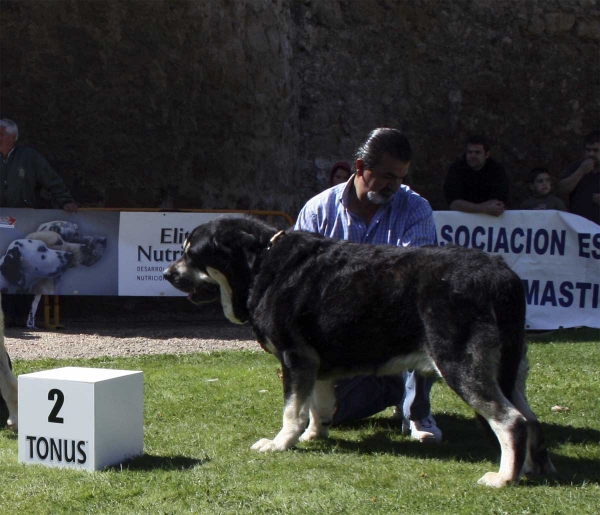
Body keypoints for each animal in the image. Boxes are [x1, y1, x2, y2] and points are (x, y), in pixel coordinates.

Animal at [163, 217, 552, 488]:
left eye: (191, 253)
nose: (167, 273)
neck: (260, 264)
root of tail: (502, 274)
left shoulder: (295, 358)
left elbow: (291, 410)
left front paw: (281, 443)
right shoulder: (315, 365)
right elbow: (317, 407)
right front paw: (313, 436)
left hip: (460, 363)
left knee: (511, 421)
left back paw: (503, 478)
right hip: (508, 368)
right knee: (531, 419)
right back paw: (532, 468)